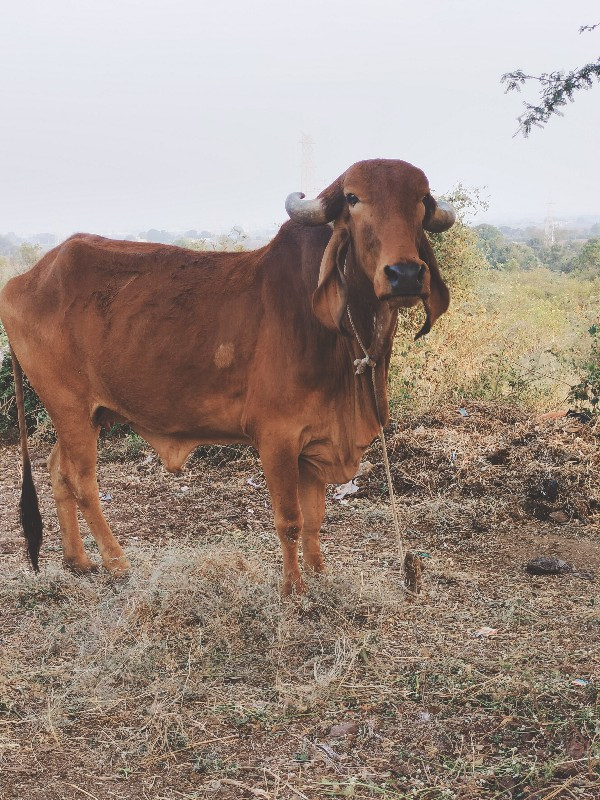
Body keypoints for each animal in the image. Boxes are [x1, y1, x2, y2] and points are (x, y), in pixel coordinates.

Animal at [0, 158, 454, 592]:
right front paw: (294, 590)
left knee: (57, 468)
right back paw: (116, 561)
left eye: (421, 200)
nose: (405, 274)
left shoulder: (314, 440)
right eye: (354, 198)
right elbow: (289, 520)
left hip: (83, 415)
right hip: (70, 408)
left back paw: (78, 561)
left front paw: (319, 574)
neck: (341, 334)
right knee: (81, 481)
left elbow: (314, 518)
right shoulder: (276, 437)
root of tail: (21, 281)